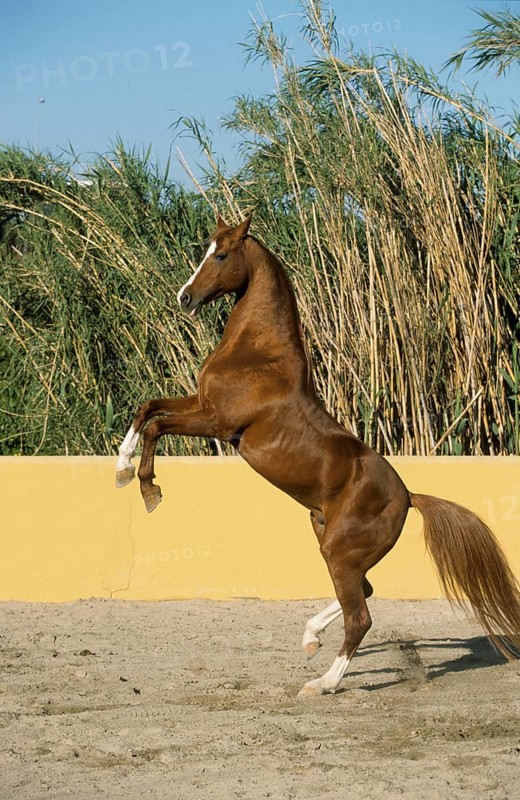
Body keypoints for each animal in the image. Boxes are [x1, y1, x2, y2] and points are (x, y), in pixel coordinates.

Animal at [116, 214, 520, 696]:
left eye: (222, 255)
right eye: (206, 249)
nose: (185, 297)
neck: (257, 354)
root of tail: (408, 497)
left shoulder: (217, 421)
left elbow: (156, 425)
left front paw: (148, 490)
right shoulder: (200, 404)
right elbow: (147, 409)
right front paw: (121, 468)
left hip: (339, 550)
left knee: (360, 616)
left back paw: (322, 682)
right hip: (329, 538)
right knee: (363, 593)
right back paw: (310, 639)